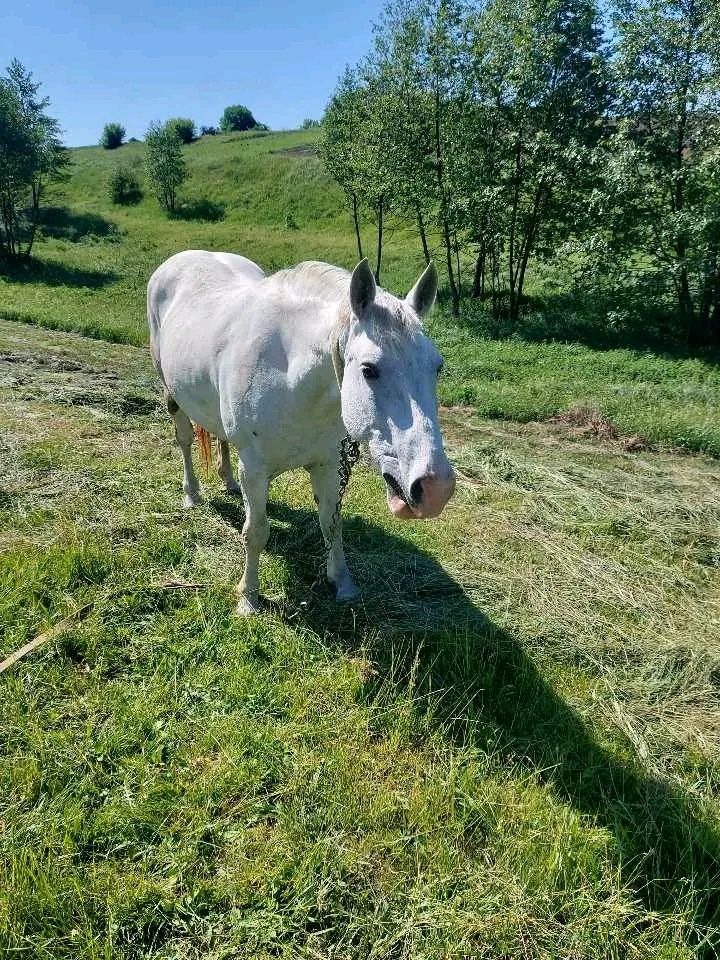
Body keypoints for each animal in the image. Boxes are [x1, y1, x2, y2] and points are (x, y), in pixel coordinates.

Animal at [148, 251, 456, 616]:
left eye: (437, 367)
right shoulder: (255, 470)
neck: (290, 377)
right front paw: (248, 599)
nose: (436, 488)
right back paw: (192, 494)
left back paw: (228, 481)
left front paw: (342, 583)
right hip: (171, 392)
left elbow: (332, 524)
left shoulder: (328, 465)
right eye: (369, 370)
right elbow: (256, 532)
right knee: (184, 441)